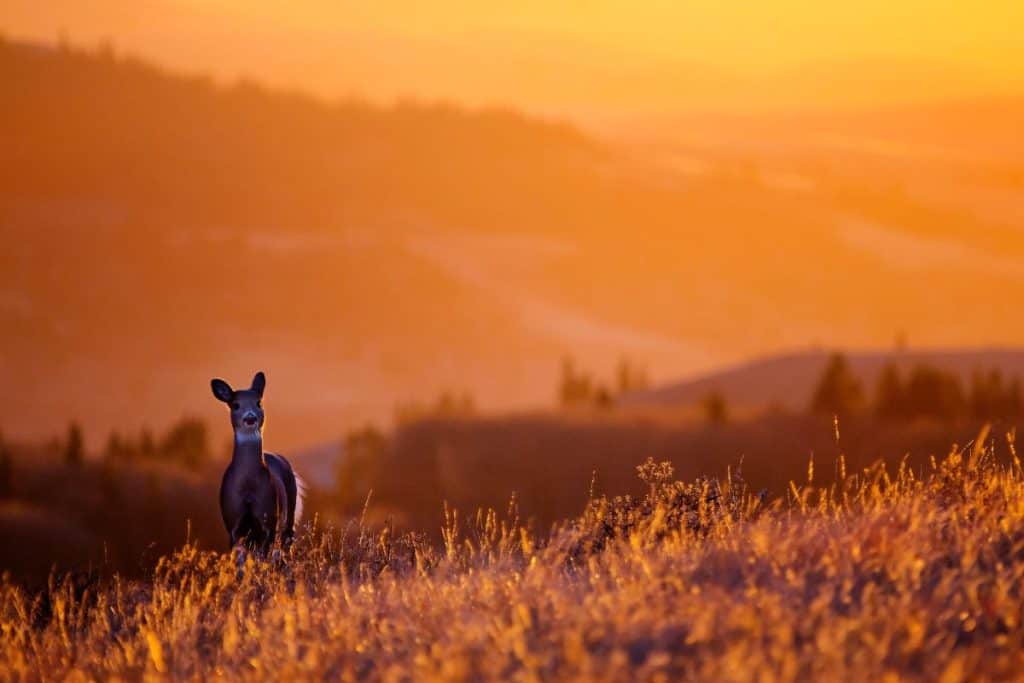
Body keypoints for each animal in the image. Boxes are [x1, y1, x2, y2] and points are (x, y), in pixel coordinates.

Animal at [208, 370, 301, 557]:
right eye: (235, 405)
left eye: (259, 403)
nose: (250, 418)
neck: (248, 488)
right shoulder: (233, 523)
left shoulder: (269, 518)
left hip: (289, 507)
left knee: (287, 543)